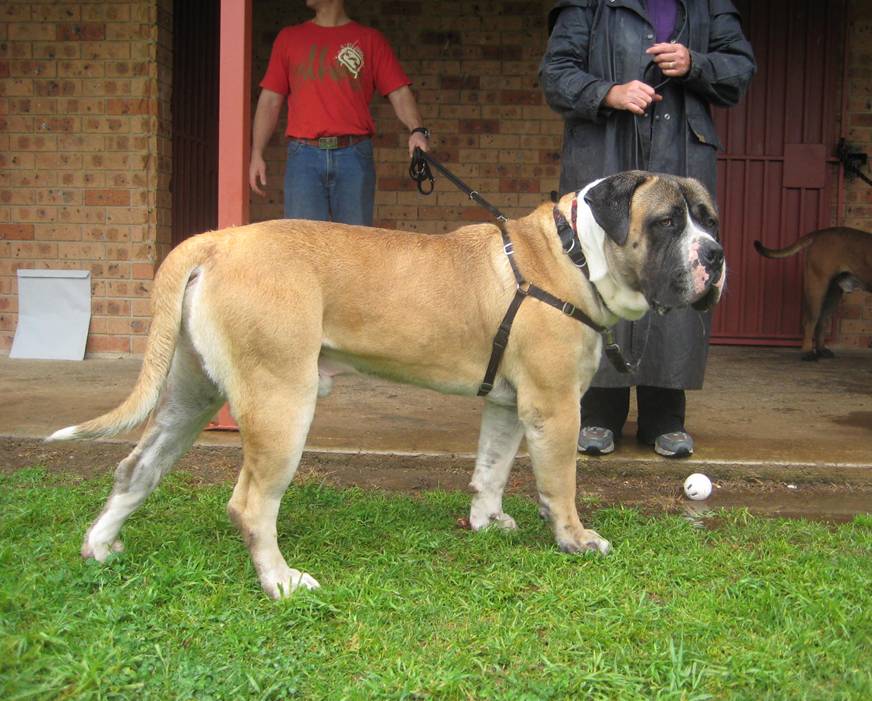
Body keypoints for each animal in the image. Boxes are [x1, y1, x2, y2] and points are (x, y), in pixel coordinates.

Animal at [51, 168, 724, 596]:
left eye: (708, 219)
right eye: (667, 222)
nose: (715, 254)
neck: (575, 253)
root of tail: (217, 241)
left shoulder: (510, 407)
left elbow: (490, 469)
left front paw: (487, 522)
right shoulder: (555, 409)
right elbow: (559, 484)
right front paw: (576, 539)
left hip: (192, 397)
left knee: (136, 468)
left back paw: (100, 547)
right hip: (281, 403)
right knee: (251, 504)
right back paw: (281, 581)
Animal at [752, 227, 868, 360]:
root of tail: (820, 233)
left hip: (832, 293)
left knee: (821, 321)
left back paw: (822, 350)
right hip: (817, 287)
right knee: (810, 321)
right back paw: (807, 352)